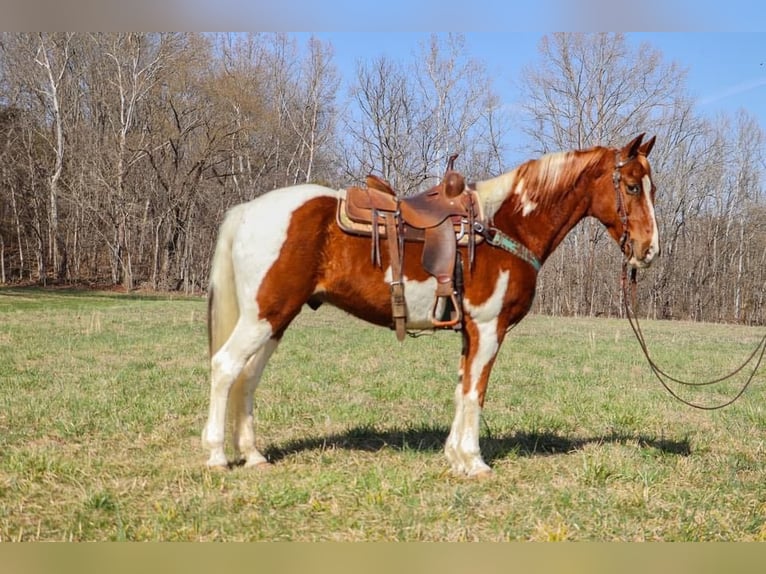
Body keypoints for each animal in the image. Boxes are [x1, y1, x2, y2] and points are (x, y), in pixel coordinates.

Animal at [202, 133, 660, 480]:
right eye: (633, 186)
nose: (649, 250)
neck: (504, 225)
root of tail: (248, 211)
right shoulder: (488, 328)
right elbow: (476, 392)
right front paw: (474, 462)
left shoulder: (470, 331)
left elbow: (462, 389)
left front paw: (456, 457)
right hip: (264, 315)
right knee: (226, 367)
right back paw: (217, 456)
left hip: (276, 318)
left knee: (247, 377)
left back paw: (254, 455)